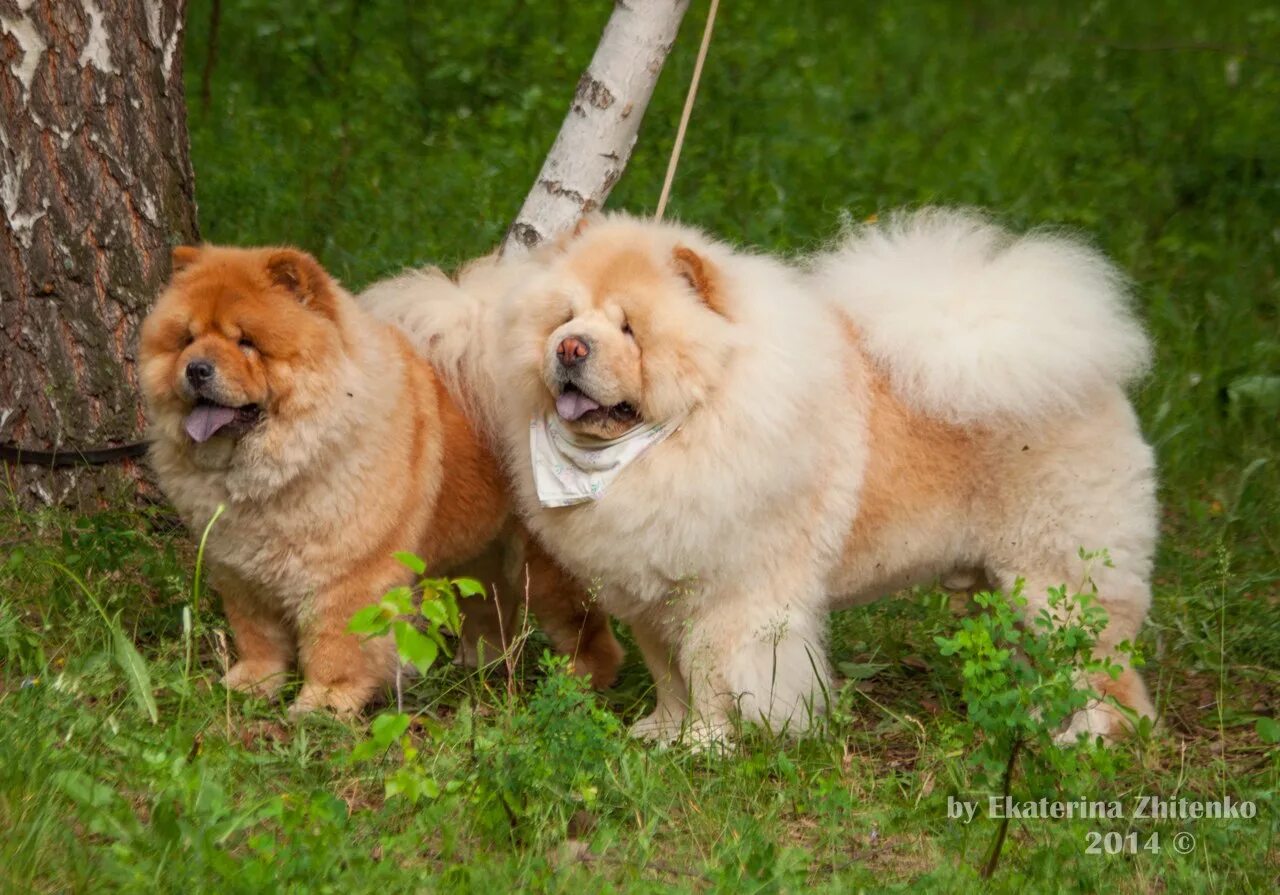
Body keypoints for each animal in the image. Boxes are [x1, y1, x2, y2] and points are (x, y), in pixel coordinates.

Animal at [394, 213, 1157, 747]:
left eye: (631, 329)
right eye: (563, 317)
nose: (570, 348)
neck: (681, 433)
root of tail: (1095, 385)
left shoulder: (728, 598)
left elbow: (709, 674)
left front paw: (703, 745)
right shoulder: (650, 596)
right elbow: (668, 672)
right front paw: (659, 731)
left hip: (1056, 579)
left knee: (1114, 678)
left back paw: (1086, 741)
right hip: (1007, 589)